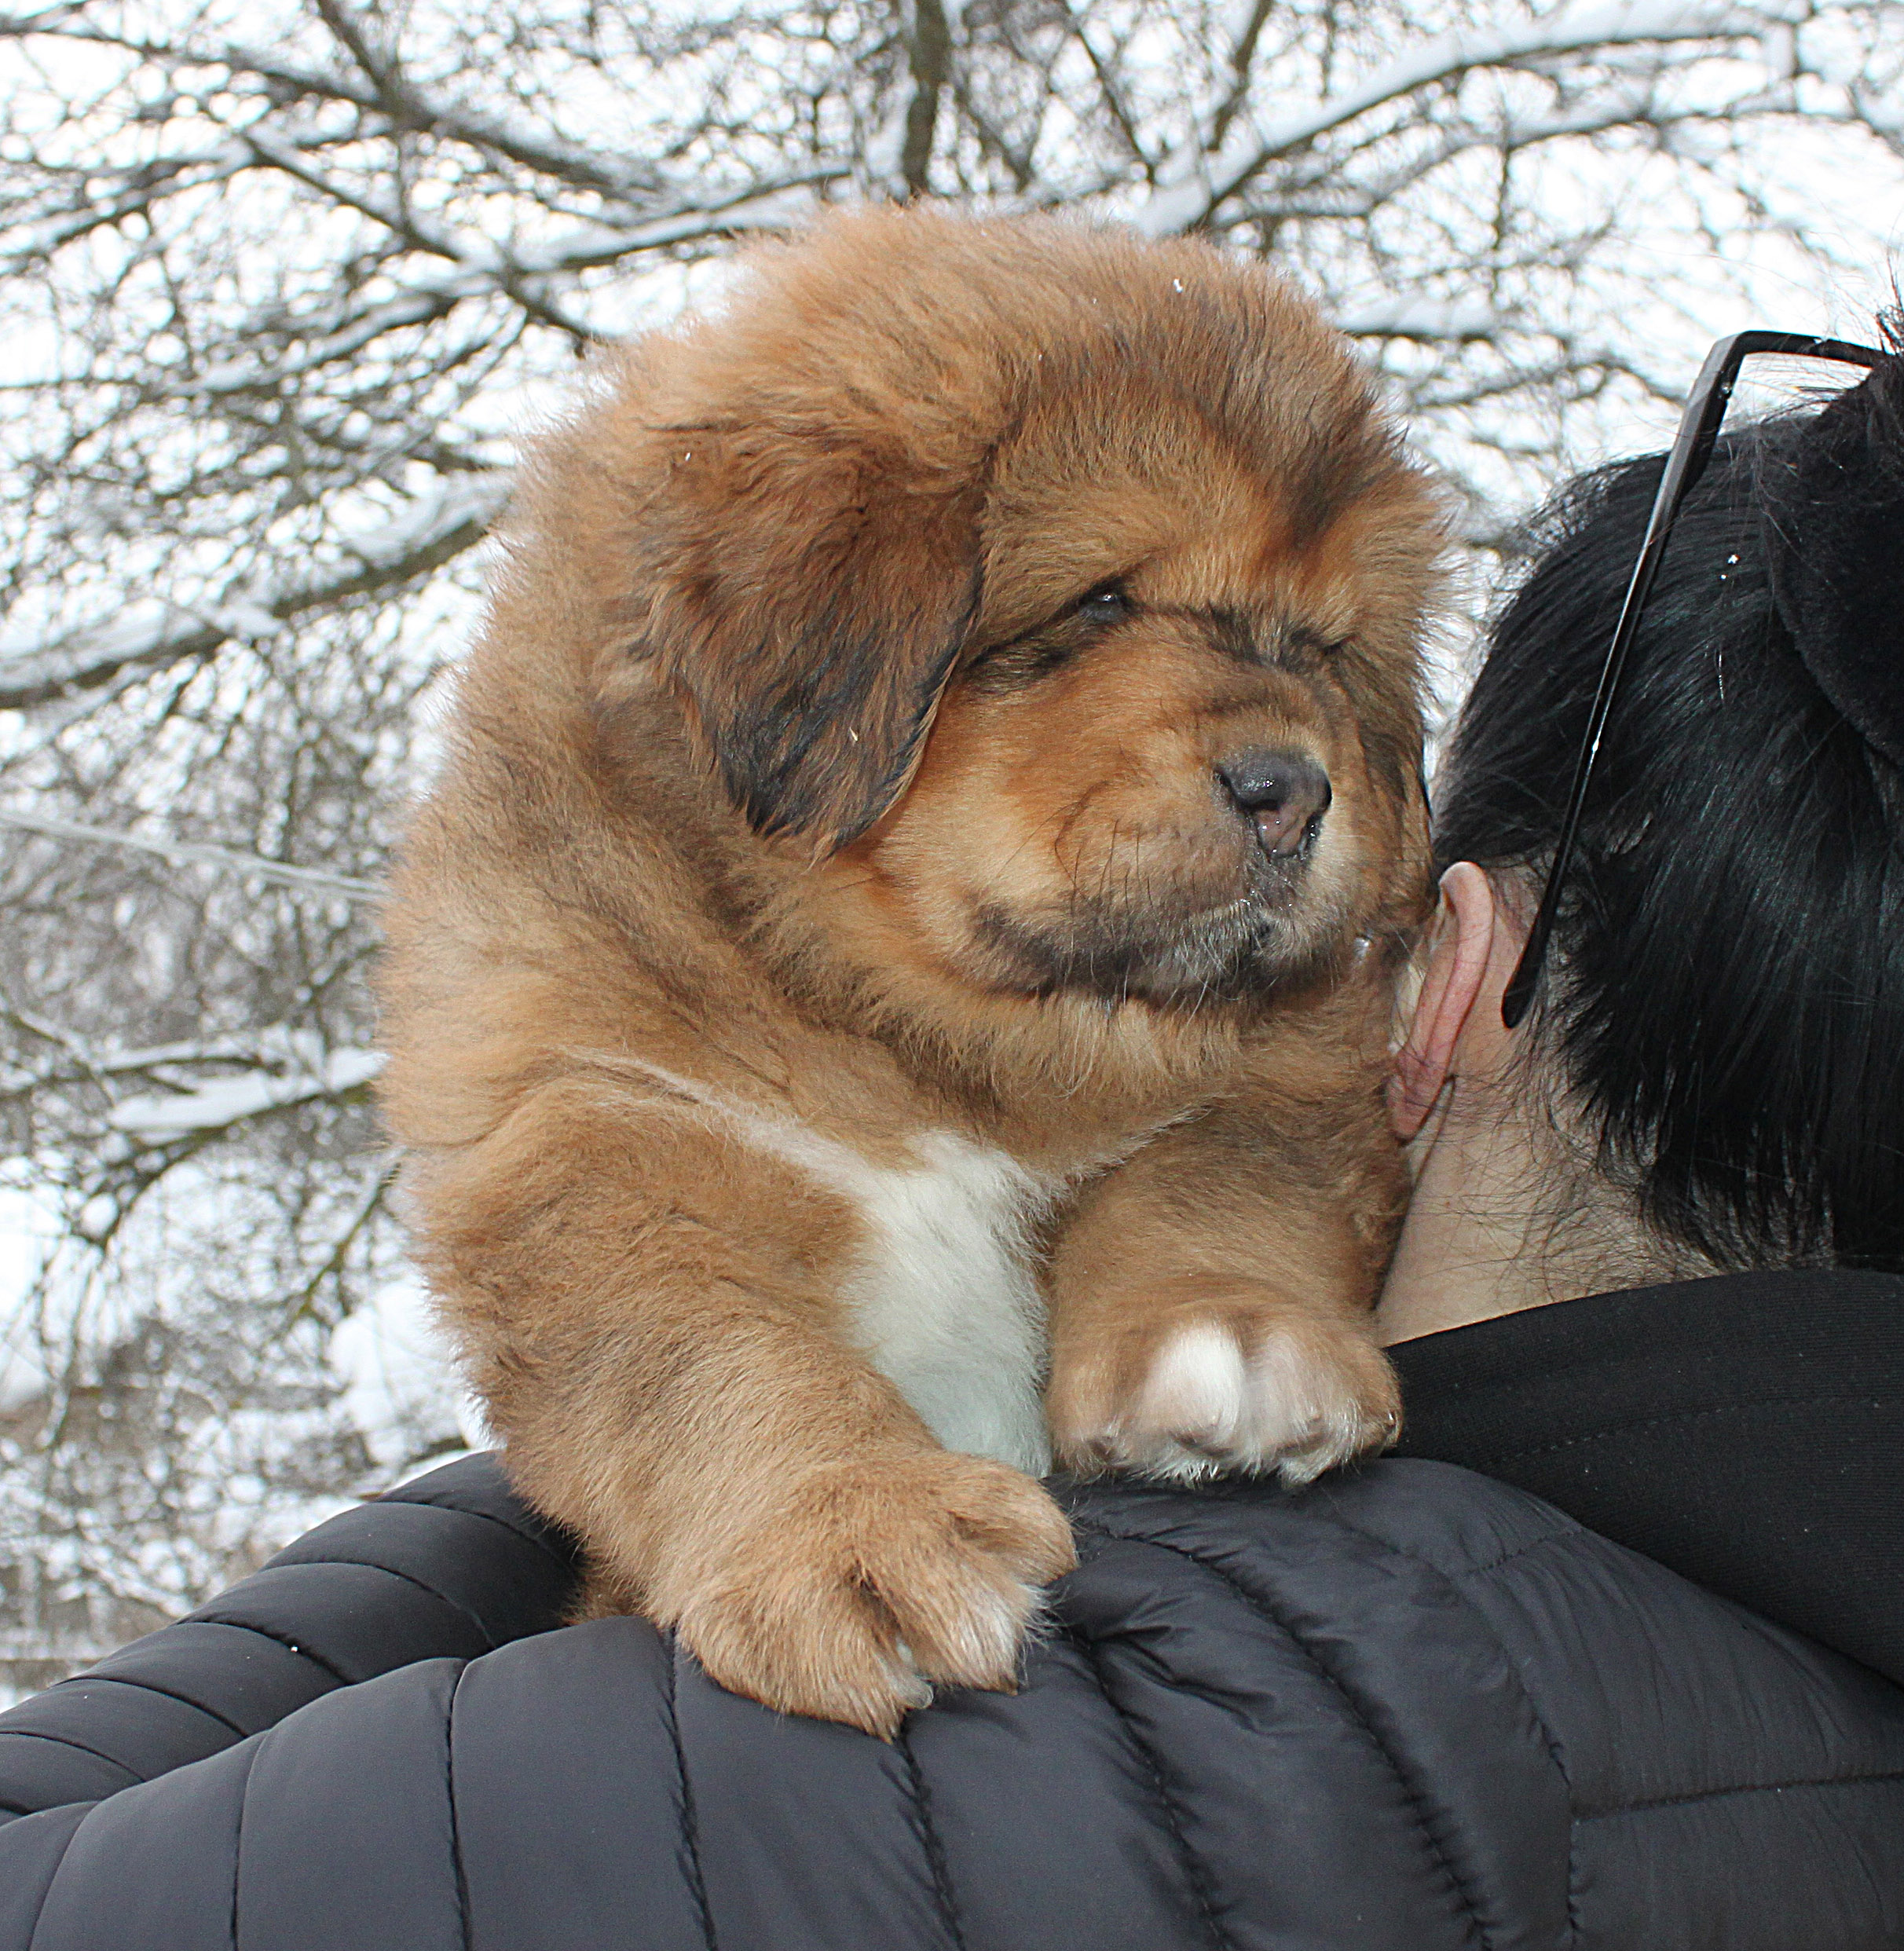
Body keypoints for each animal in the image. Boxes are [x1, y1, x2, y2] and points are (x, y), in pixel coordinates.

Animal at [378, 206, 1441, 1737]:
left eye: (1319, 646)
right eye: (1101, 600)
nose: (1295, 791)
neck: (932, 1044)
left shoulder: (1287, 1070)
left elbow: (1203, 1183)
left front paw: (1230, 1337)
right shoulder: (593, 1130)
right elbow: (710, 1353)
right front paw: (851, 1525)